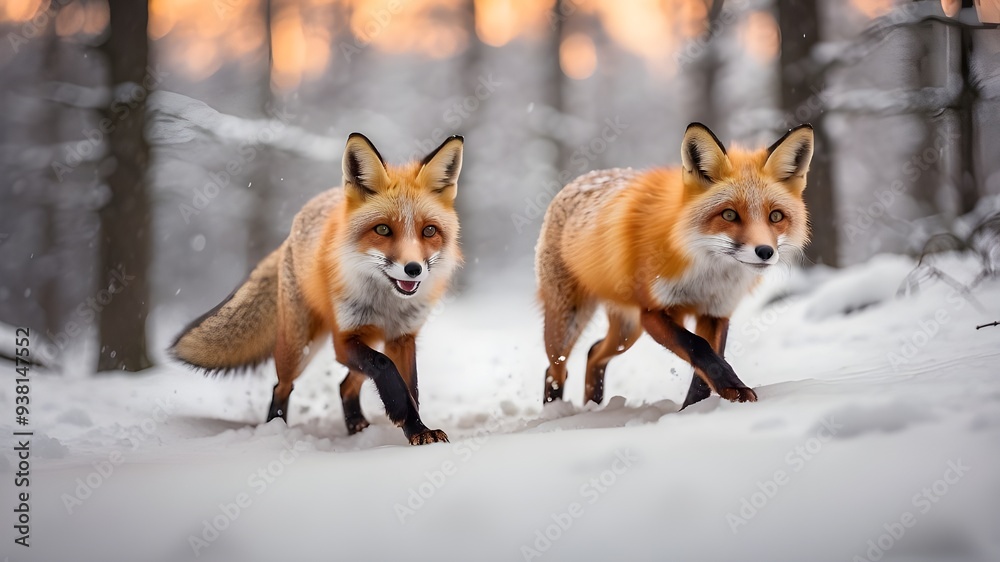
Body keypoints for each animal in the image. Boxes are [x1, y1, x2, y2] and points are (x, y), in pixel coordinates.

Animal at [171, 132, 465, 445]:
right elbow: (385, 367)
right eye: (383, 229)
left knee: (345, 386)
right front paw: (404, 416)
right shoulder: (345, 338)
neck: (387, 304)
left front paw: (418, 428)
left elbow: (410, 387)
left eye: (429, 231)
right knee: (281, 386)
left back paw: (356, 425)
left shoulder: (402, 338)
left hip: (368, 338)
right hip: (298, 347)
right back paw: (276, 431)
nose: (413, 268)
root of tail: (293, 229)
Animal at [535, 122, 813, 408]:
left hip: (626, 332)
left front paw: (696, 406)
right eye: (729, 214)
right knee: (555, 370)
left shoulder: (715, 311)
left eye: (776, 216)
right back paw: (556, 411)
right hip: (568, 324)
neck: (706, 273)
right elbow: (698, 346)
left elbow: (708, 364)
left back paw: (594, 404)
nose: (765, 252)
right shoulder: (654, 311)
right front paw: (730, 391)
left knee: (593, 352)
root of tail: (580, 180)